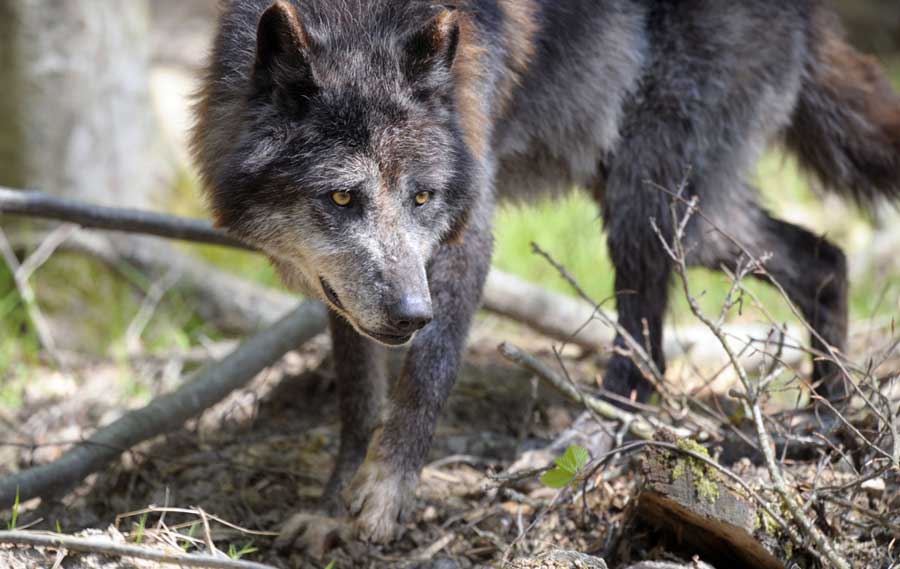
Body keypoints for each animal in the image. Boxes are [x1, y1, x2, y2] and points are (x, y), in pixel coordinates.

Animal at [193, 0, 900, 544]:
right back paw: (828, 418)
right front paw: (332, 508)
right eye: (341, 198)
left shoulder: (467, 235)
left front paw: (388, 495)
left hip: (655, 209)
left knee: (646, 355)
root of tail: (808, 12)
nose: (412, 315)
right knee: (825, 260)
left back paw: (583, 449)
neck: (361, 16)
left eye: (422, 197)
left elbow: (429, 373)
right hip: (681, 212)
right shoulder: (341, 289)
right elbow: (358, 402)